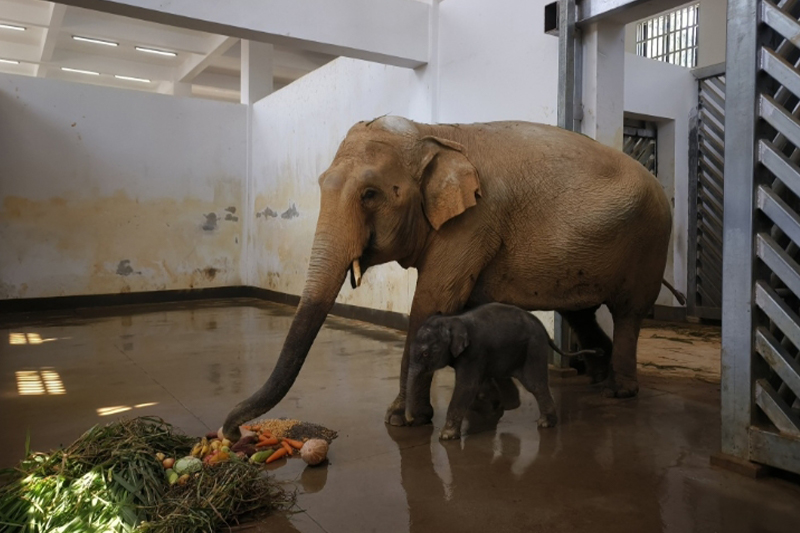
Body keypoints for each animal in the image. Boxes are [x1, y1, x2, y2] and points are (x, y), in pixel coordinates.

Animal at [407, 303, 602, 440]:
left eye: (425, 353)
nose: (410, 421)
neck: (453, 319)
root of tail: (545, 331)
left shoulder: (473, 353)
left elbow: (466, 386)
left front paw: (446, 437)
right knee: (506, 376)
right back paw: (512, 406)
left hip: (534, 348)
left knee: (534, 384)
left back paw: (545, 423)